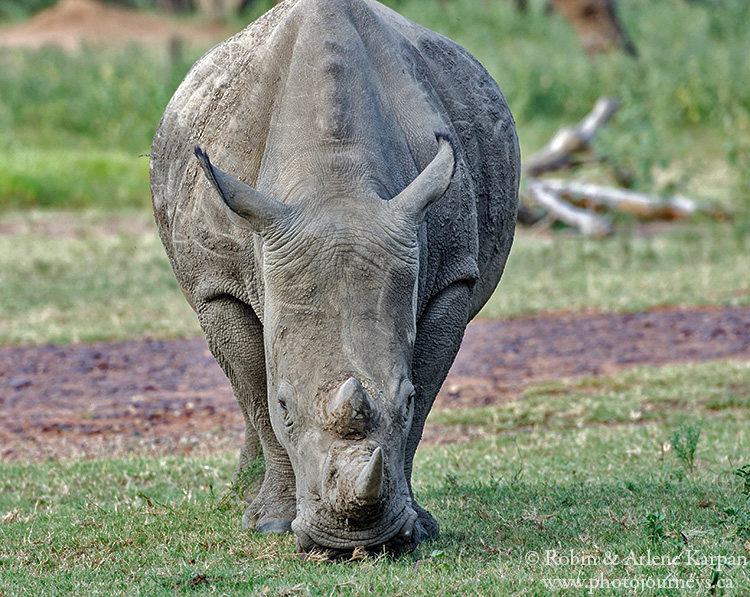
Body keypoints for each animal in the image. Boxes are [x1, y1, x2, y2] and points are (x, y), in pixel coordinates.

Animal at [150, 0, 520, 556]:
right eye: (287, 406)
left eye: (405, 399)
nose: (353, 542)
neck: (336, 184)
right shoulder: (217, 285)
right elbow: (255, 389)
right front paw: (272, 524)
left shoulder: (452, 278)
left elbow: (425, 396)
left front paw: (419, 524)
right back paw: (242, 498)